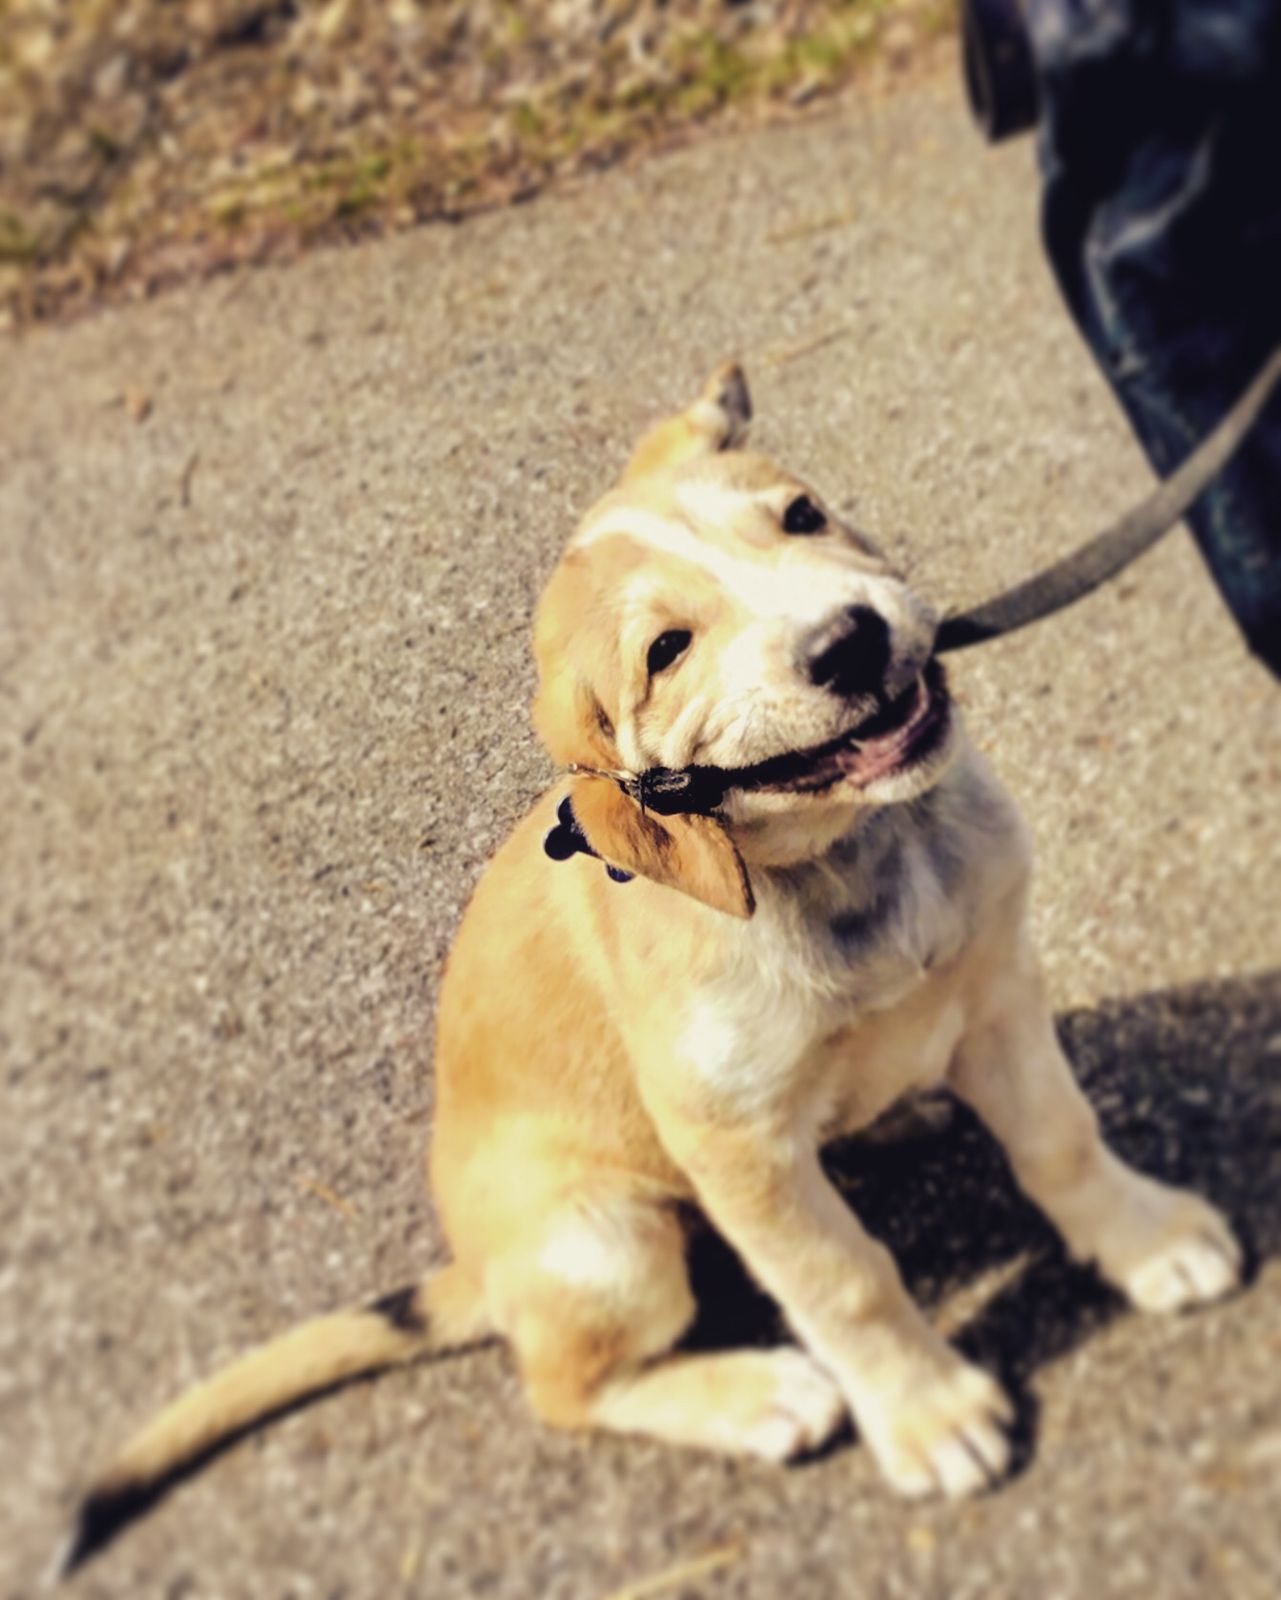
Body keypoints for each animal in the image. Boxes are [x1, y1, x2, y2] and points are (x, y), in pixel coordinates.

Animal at [62, 364, 1242, 1569]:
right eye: (665, 652)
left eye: (800, 515)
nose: (851, 642)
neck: (844, 861)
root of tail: (478, 1271)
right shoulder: (735, 1146)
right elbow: (848, 1280)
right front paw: (927, 1412)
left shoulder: (998, 986)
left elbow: (1060, 1138)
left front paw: (1145, 1241)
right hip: (609, 1241)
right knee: (567, 1389)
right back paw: (756, 1397)